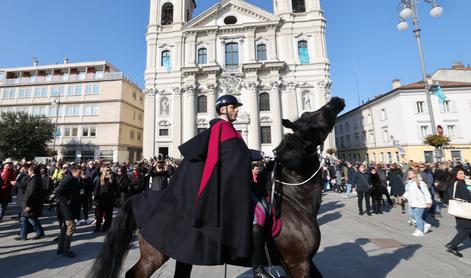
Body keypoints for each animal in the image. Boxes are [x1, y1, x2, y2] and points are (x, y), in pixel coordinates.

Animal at [89, 96, 346, 276]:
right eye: (315, 118)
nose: (336, 100)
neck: (293, 201)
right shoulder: (298, 262)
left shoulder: (302, 263)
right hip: (154, 255)